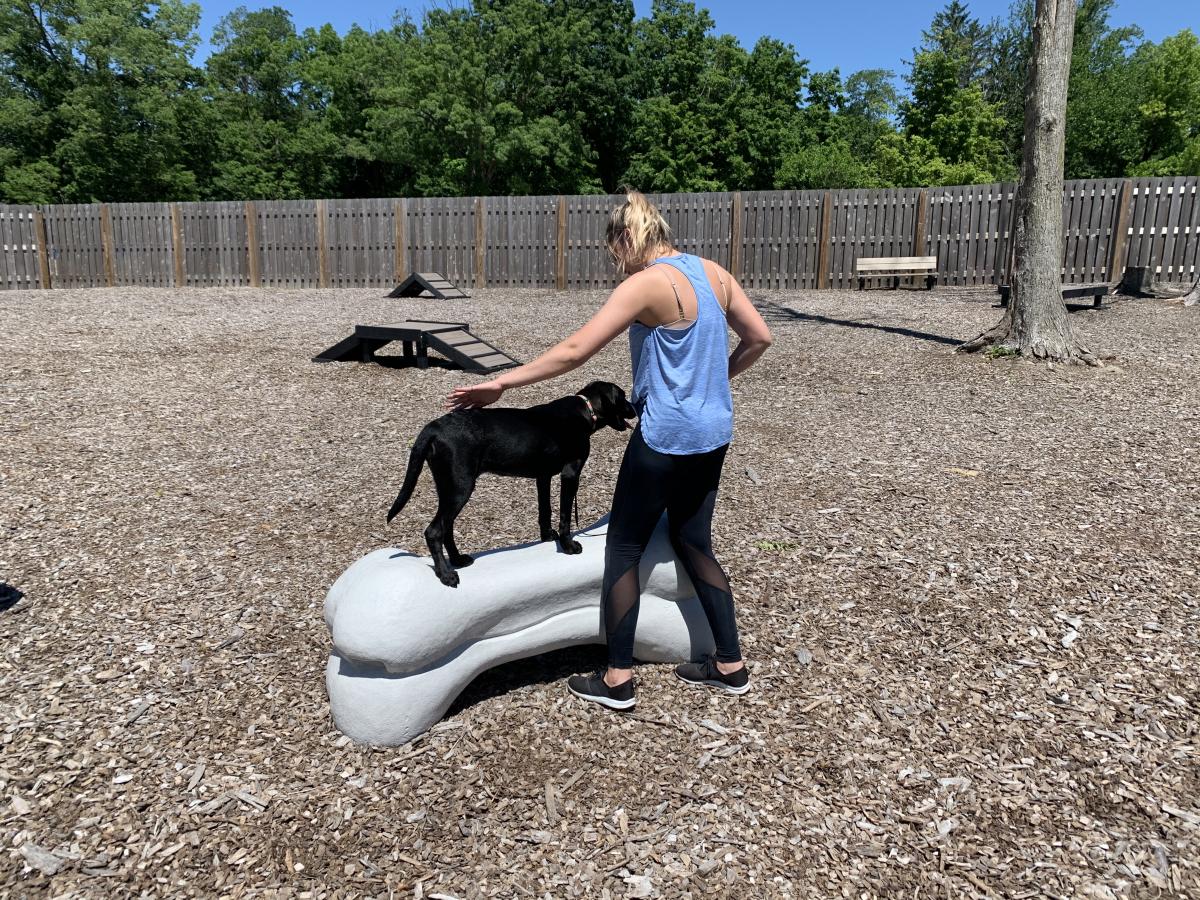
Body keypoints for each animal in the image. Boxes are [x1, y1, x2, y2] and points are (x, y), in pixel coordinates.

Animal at [391, 384, 638, 588]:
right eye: (622, 396)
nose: (635, 408)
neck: (586, 409)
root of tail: (434, 427)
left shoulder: (543, 476)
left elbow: (545, 510)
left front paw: (548, 537)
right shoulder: (570, 473)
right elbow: (565, 516)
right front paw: (568, 546)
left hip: (448, 486)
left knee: (446, 526)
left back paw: (458, 560)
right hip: (460, 486)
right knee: (434, 531)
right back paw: (446, 575)